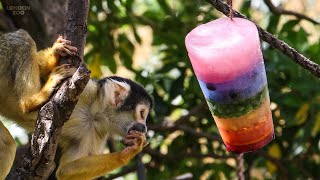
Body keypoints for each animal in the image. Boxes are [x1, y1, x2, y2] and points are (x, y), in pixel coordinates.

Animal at [0, 30, 152, 179]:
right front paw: (57, 51)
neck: (94, 115)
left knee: (7, 145)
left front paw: (129, 152)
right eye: (142, 113)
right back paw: (29, 102)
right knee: (21, 38)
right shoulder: (86, 87)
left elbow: (66, 171)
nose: (144, 127)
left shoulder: (98, 133)